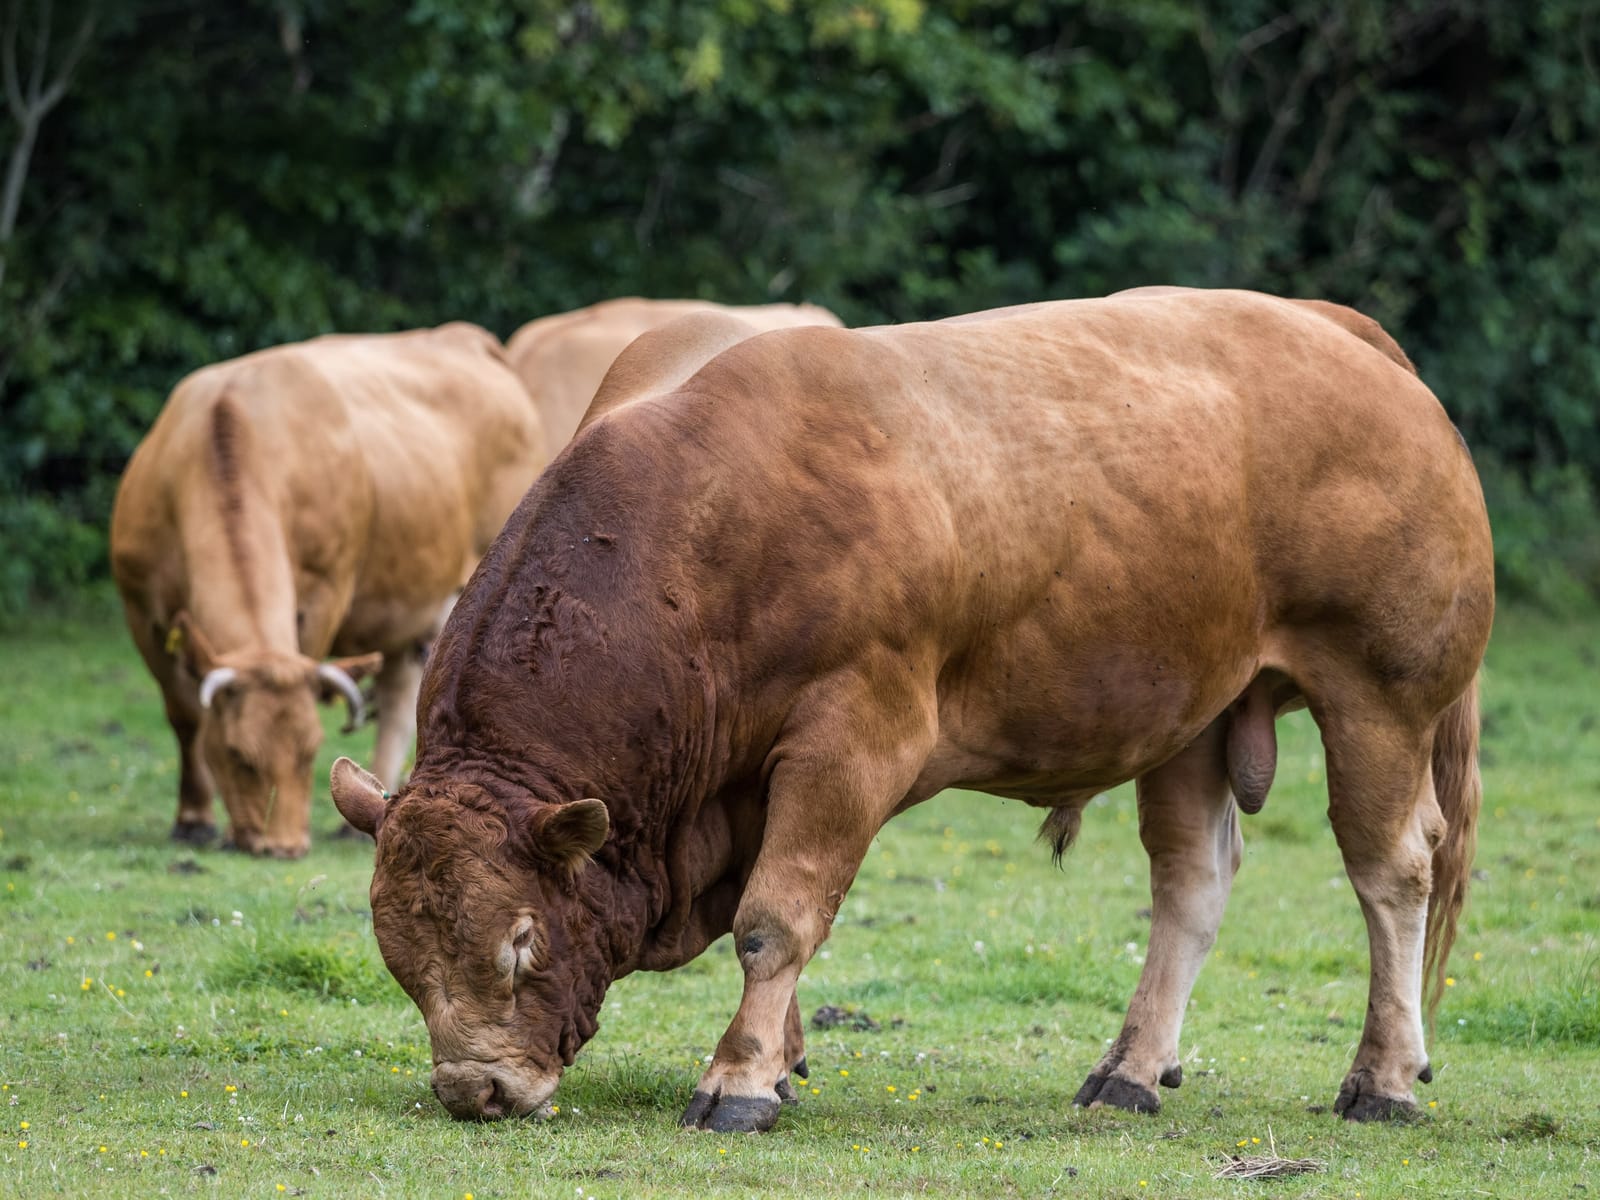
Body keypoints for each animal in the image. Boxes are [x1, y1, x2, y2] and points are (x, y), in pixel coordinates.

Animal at [111, 323, 548, 858]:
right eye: (237, 755)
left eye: (311, 750)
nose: (283, 847)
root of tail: (462, 336)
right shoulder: (140, 611)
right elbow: (185, 715)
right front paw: (194, 819)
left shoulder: (325, 592)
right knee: (401, 689)